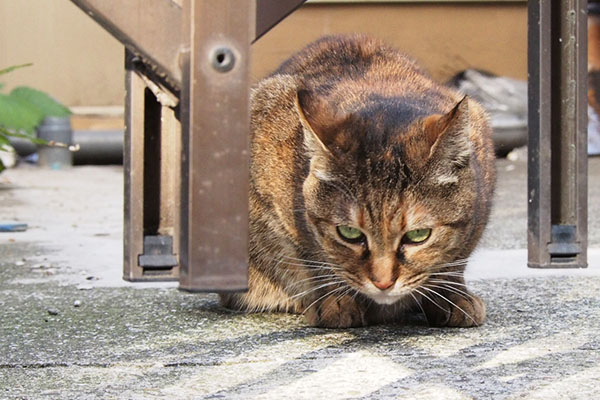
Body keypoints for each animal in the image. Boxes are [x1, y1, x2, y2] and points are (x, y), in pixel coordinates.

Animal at [220, 34, 496, 328]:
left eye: (418, 235)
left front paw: (451, 295)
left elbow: (456, 258)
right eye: (349, 234)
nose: (383, 283)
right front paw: (335, 299)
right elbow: (314, 253)